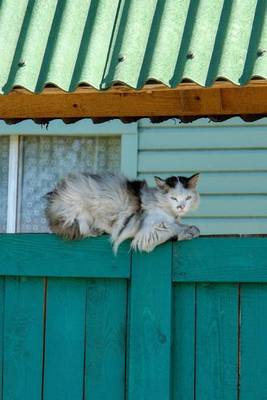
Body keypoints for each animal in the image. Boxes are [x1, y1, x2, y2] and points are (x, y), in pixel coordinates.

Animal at [45, 172, 201, 253]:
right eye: (173, 198)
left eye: (188, 198)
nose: (181, 206)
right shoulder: (149, 231)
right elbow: (172, 229)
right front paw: (188, 233)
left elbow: (179, 225)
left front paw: (192, 229)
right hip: (81, 214)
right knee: (83, 230)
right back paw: (96, 231)